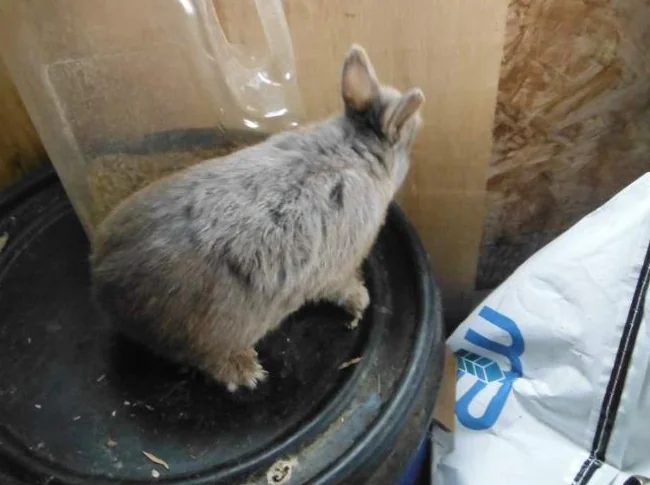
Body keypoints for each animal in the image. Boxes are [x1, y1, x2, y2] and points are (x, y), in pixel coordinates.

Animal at [90, 44, 425, 392]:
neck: (353, 149)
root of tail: (103, 281)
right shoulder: (338, 268)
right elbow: (343, 288)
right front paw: (361, 300)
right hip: (213, 337)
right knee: (210, 362)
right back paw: (248, 371)